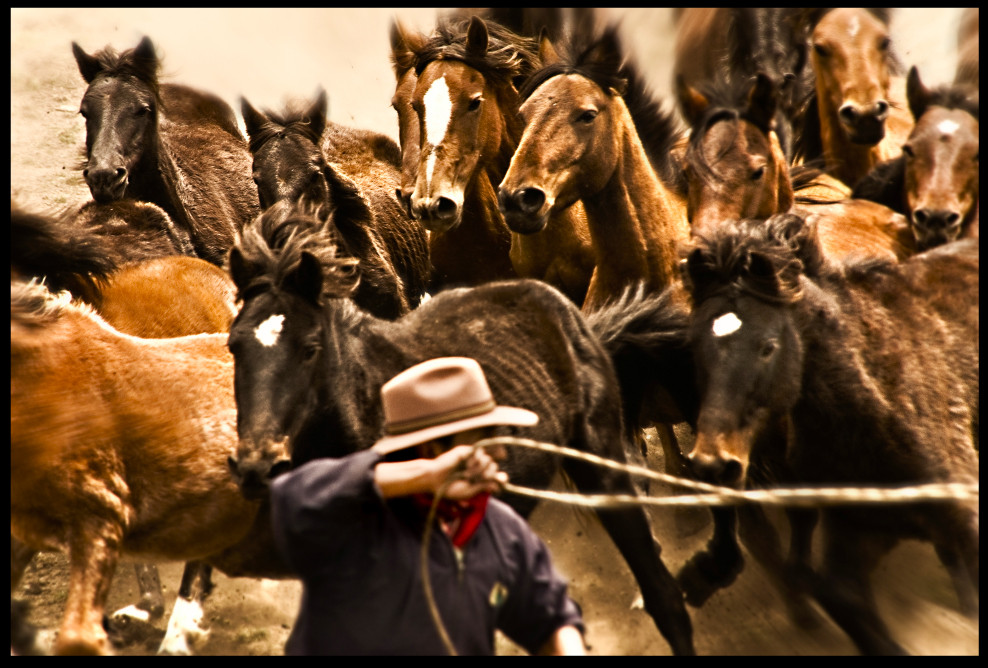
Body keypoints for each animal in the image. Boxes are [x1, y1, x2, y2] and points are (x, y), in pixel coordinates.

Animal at [226, 206, 696, 656]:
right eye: (234, 345)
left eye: (310, 349)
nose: (257, 466)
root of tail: (570, 314)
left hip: (603, 464)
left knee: (663, 595)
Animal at [684, 215, 976, 656]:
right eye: (693, 346)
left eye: (768, 347)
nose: (713, 464)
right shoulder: (860, 529)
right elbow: (839, 594)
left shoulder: (963, 515)